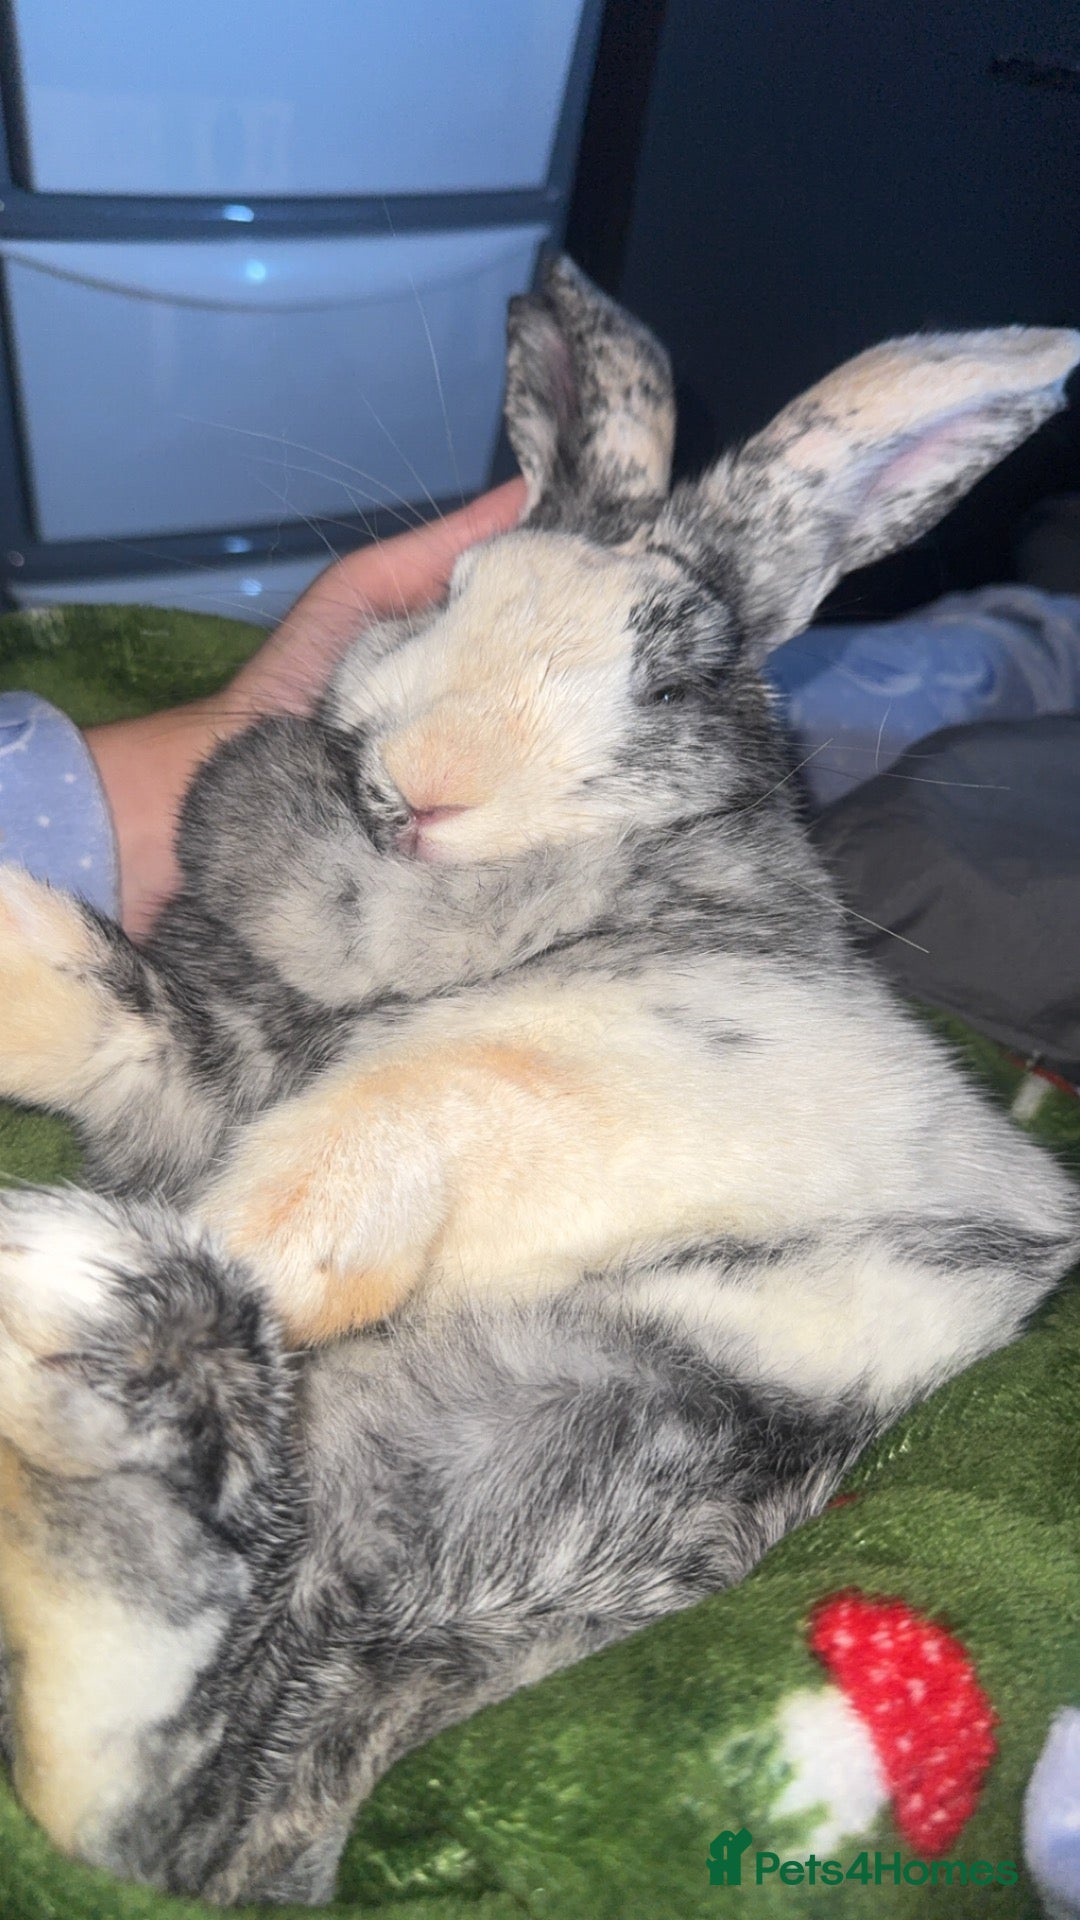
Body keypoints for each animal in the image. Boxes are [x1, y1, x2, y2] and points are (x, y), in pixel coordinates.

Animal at [0, 258, 1077, 1905]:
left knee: (145, 1791)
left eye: (675, 672)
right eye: (450, 593)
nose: (421, 789)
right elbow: (124, 1018)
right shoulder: (210, 1053)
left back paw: (93, 1308)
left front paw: (271, 1244)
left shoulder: (669, 1056)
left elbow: (457, 1080)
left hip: (590, 1429)